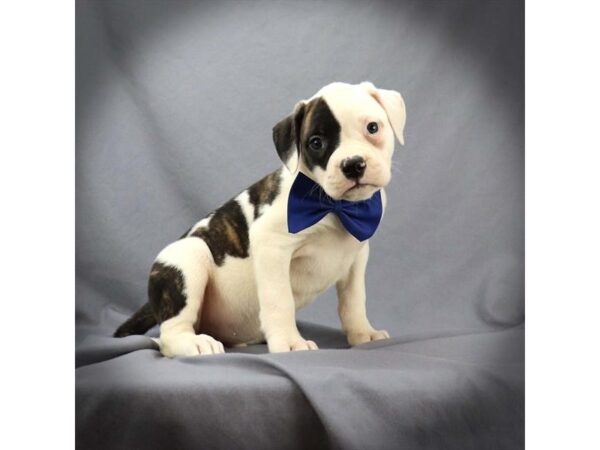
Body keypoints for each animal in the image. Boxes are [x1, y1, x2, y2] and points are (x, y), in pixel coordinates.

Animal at [115, 80, 406, 356]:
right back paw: (193, 343)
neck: (334, 206)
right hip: (189, 258)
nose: (353, 164)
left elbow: (353, 300)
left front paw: (363, 334)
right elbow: (279, 299)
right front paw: (290, 342)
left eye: (372, 128)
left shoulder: (357, 256)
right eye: (316, 142)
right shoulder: (272, 246)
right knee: (170, 334)